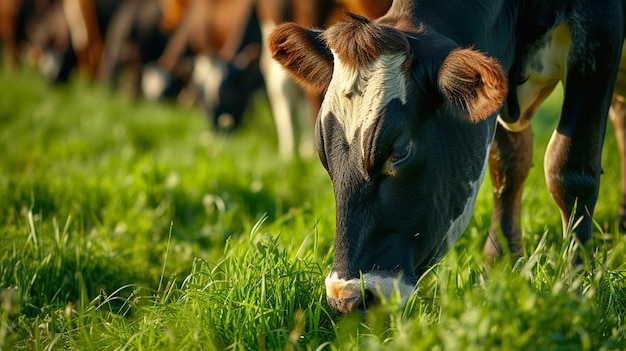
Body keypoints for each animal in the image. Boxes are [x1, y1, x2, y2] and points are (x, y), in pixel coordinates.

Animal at [268, 0, 624, 314]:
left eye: (400, 151)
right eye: (322, 152)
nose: (347, 299)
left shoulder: (600, 36)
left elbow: (569, 169)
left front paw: (578, 283)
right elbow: (508, 164)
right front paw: (500, 263)